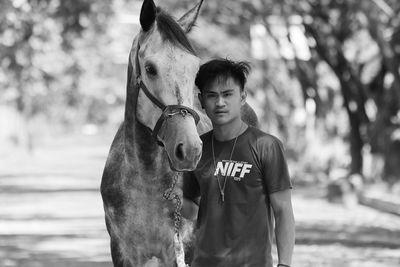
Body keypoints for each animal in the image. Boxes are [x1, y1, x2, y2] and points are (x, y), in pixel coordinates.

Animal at [100, 1, 260, 266]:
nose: (190, 150)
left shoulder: (183, 248)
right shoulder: (123, 252)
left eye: (196, 70)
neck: (146, 180)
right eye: (150, 68)